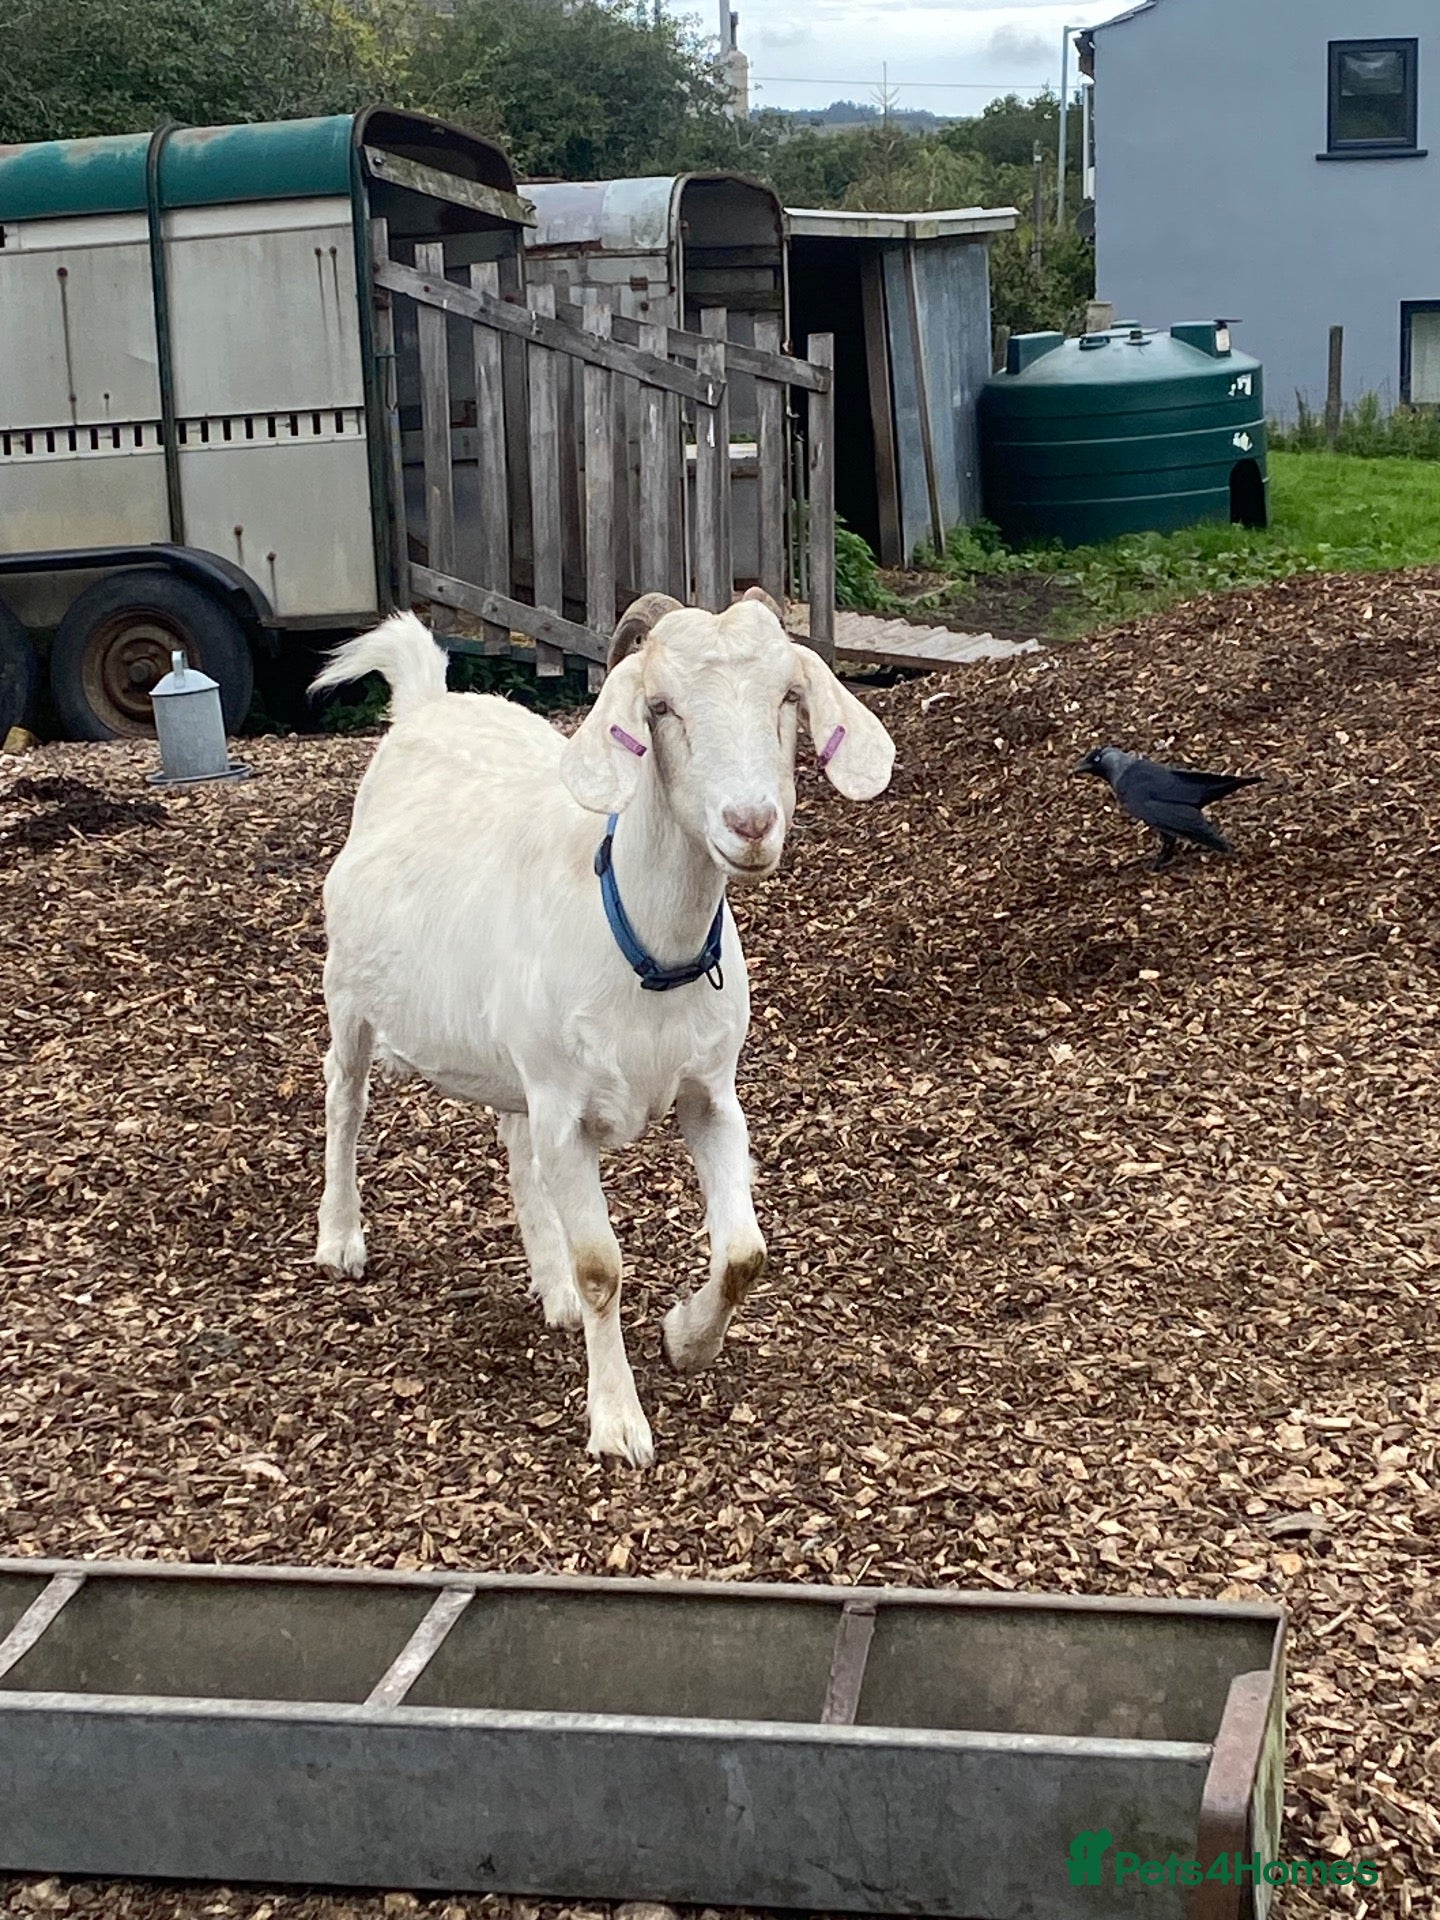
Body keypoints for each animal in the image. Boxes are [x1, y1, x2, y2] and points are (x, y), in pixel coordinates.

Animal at [309, 589, 895, 1466]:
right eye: (660, 707)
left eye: (788, 696)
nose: (751, 823)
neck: (644, 948)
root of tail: (426, 704)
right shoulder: (569, 1113)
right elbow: (602, 1268)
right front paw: (618, 1422)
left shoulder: (710, 1095)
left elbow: (744, 1252)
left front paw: (685, 1340)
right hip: (349, 991)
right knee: (345, 1100)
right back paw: (342, 1239)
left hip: (518, 1064)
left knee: (514, 1146)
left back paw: (547, 1286)